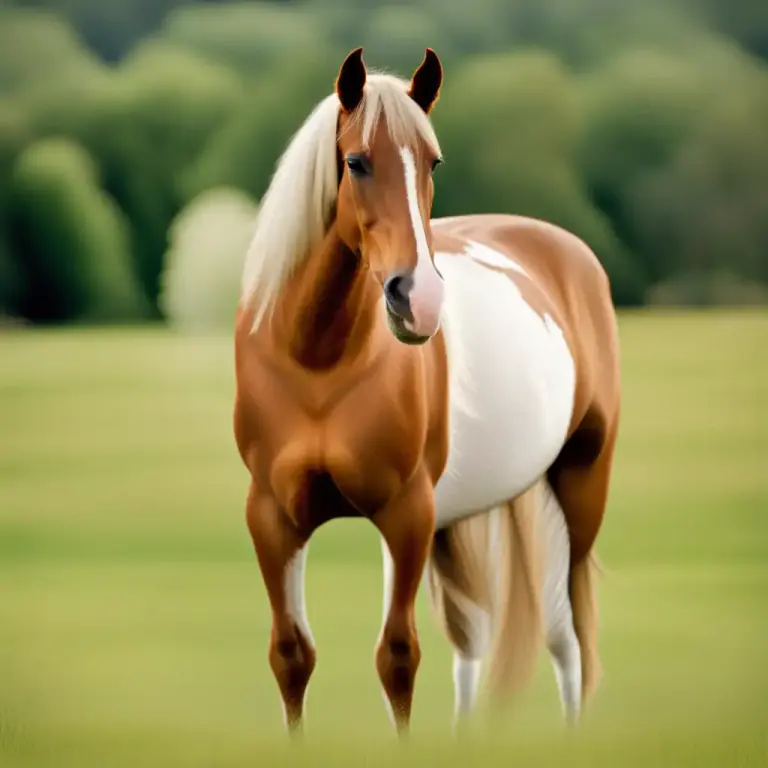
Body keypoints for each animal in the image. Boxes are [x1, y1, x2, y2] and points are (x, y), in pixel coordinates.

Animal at [233, 47, 621, 736]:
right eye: (355, 161)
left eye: (432, 162)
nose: (419, 299)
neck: (316, 362)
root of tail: (567, 251)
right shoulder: (273, 517)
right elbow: (292, 656)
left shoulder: (405, 513)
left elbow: (398, 658)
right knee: (473, 642)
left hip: (579, 486)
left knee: (567, 637)